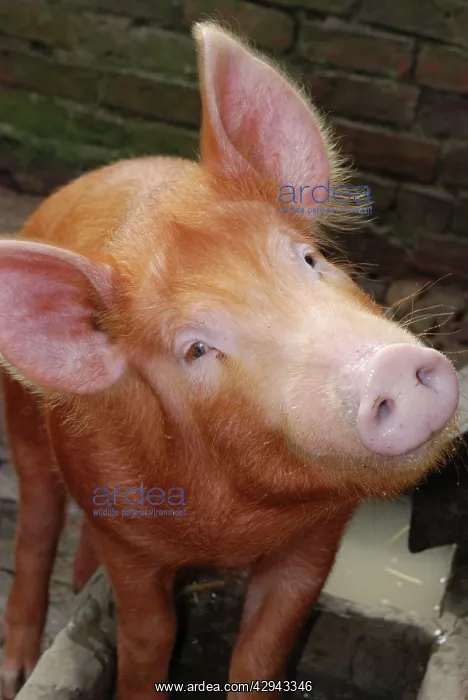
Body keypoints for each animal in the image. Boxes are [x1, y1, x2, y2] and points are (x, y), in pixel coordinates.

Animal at [0, 20, 460, 700]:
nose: (390, 367)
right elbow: (149, 637)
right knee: (36, 521)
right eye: (195, 349)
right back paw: (18, 669)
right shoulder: (127, 536)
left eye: (309, 259)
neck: (237, 523)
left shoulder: (317, 538)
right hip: (24, 423)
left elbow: (266, 646)